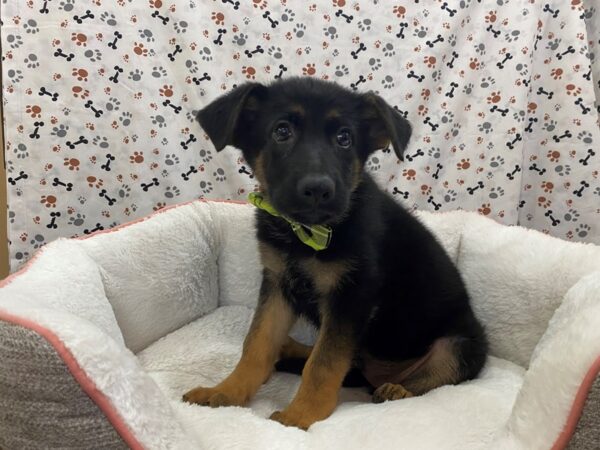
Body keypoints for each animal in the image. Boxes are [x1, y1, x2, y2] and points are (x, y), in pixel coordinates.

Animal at [183, 77, 488, 428]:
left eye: (345, 138)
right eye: (281, 131)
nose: (318, 189)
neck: (303, 233)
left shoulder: (351, 296)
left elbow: (323, 363)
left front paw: (300, 415)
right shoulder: (278, 284)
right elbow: (256, 344)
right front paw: (227, 392)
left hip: (458, 345)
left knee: (435, 374)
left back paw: (397, 389)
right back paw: (289, 349)